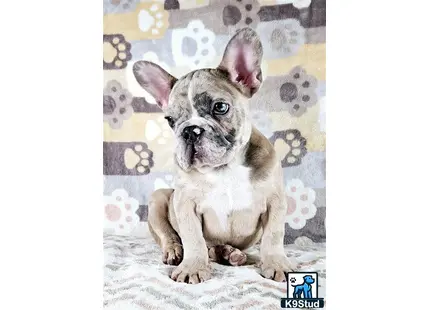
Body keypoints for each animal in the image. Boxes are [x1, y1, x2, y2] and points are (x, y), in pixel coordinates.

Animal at [134, 28, 296, 284]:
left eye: (220, 107)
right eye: (170, 120)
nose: (190, 130)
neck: (224, 168)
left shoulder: (275, 201)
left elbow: (274, 235)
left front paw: (276, 262)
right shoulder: (185, 203)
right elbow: (193, 238)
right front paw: (192, 266)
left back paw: (232, 254)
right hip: (158, 198)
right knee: (170, 235)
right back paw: (177, 251)